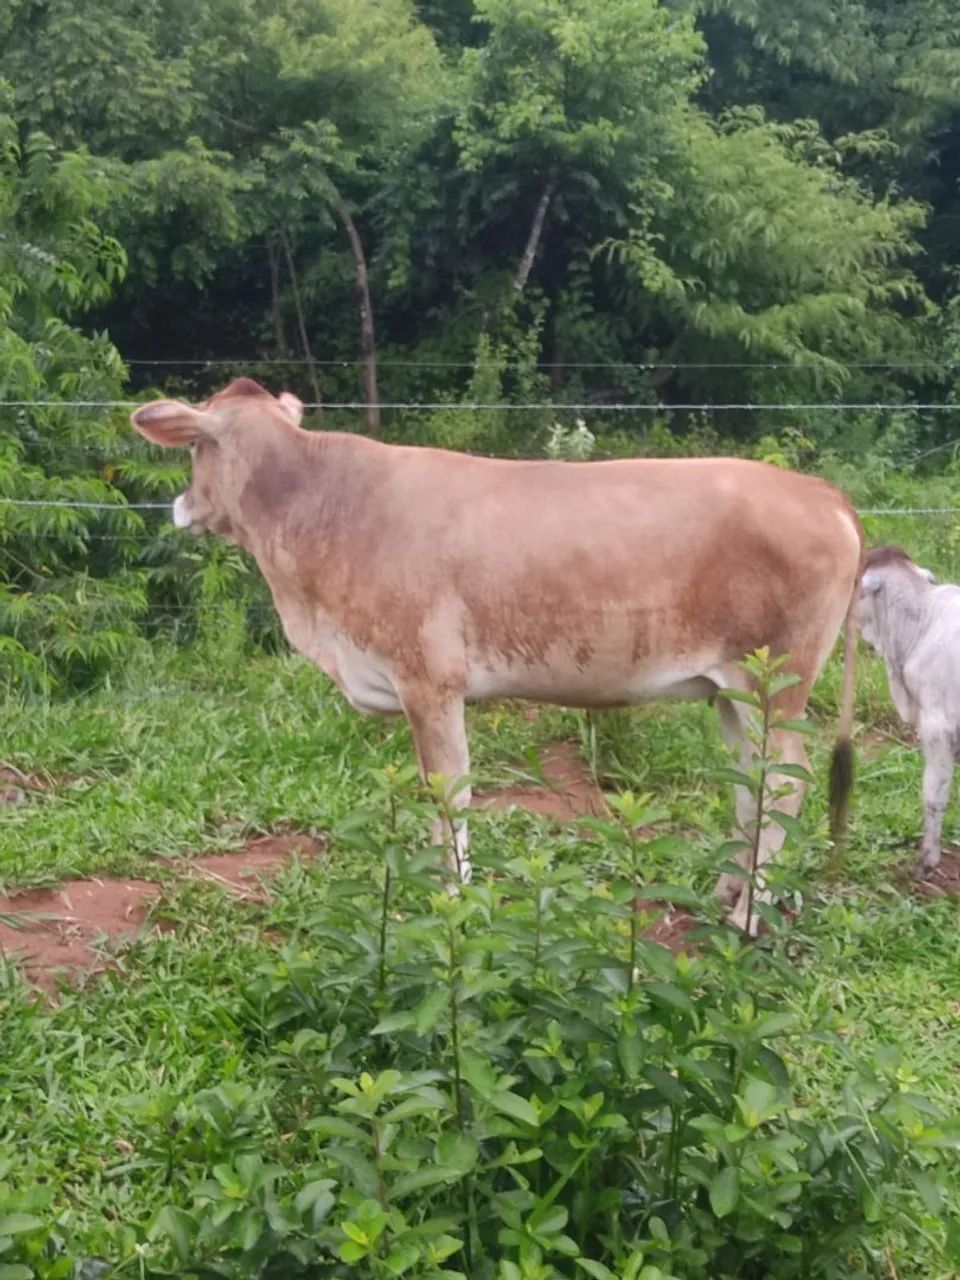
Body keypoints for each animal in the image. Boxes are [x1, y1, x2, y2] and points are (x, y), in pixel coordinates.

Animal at [130, 377, 863, 934]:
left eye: (194, 447)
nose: (179, 506)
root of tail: (821, 492)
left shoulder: (429, 681)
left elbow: (448, 797)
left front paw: (450, 901)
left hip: (778, 684)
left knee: (785, 784)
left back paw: (748, 917)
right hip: (732, 690)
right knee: (749, 783)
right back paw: (726, 894)